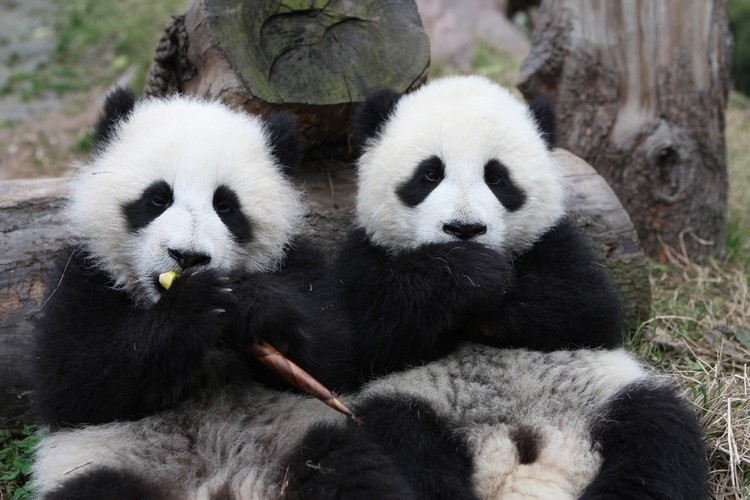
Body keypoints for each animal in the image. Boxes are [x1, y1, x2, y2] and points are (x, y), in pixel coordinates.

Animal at [282, 76, 708, 499]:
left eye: (497, 177)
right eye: (430, 174)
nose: (464, 229)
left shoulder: (557, 242)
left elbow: (588, 308)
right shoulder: (365, 253)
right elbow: (358, 340)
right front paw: (465, 275)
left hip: (604, 395)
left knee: (658, 433)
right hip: (414, 399)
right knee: (402, 439)